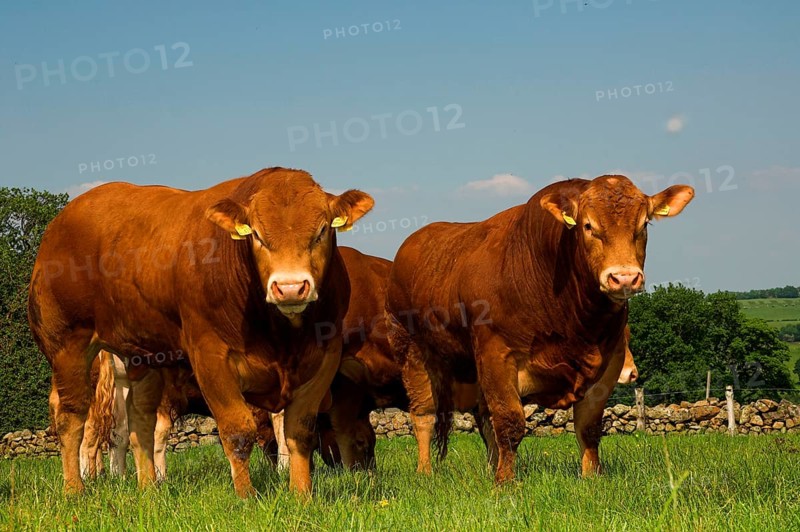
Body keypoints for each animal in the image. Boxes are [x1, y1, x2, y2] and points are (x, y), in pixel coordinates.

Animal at [28, 167, 373, 497]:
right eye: (256, 234)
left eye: (322, 230)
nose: (290, 288)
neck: (281, 336)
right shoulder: (210, 356)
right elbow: (237, 431)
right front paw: (246, 496)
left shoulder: (325, 357)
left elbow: (299, 431)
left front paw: (302, 495)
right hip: (67, 346)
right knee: (71, 416)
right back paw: (75, 490)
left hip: (141, 357)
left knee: (139, 420)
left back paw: (149, 488)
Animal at [385, 175, 693, 483]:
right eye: (588, 225)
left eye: (644, 225)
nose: (625, 278)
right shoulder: (497, 354)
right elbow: (509, 422)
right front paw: (505, 482)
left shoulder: (610, 360)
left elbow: (589, 427)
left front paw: (591, 477)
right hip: (413, 352)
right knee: (424, 415)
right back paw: (425, 471)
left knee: (484, 420)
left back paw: (490, 467)